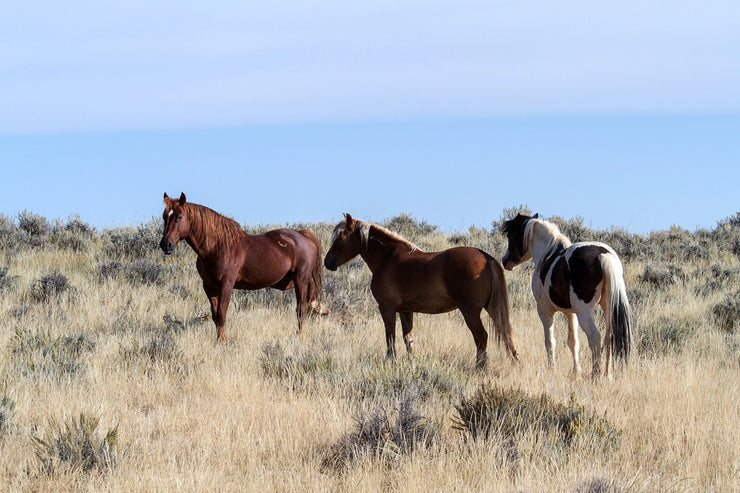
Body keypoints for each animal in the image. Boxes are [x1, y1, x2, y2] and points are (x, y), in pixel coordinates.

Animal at [159, 193, 326, 342]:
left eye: (179, 217)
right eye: (164, 216)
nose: (166, 245)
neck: (216, 247)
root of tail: (303, 235)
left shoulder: (226, 285)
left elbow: (222, 314)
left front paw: (222, 342)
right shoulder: (209, 286)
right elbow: (215, 316)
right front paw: (218, 340)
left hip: (301, 280)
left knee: (301, 309)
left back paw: (300, 337)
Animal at [326, 212, 516, 368]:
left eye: (341, 238)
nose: (328, 262)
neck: (387, 258)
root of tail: (488, 259)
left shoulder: (387, 308)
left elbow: (390, 338)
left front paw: (390, 361)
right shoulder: (405, 311)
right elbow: (408, 339)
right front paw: (412, 362)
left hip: (470, 311)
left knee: (481, 337)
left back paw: (480, 368)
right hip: (491, 308)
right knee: (506, 331)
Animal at [500, 211, 632, 376]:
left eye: (511, 235)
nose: (505, 261)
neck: (547, 255)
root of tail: (603, 255)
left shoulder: (544, 310)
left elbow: (550, 342)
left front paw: (552, 369)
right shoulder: (571, 313)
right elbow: (573, 342)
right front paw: (577, 373)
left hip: (584, 312)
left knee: (595, 337)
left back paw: (595, 374)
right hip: (607, 308)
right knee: (609, 338)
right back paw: (607, 375)